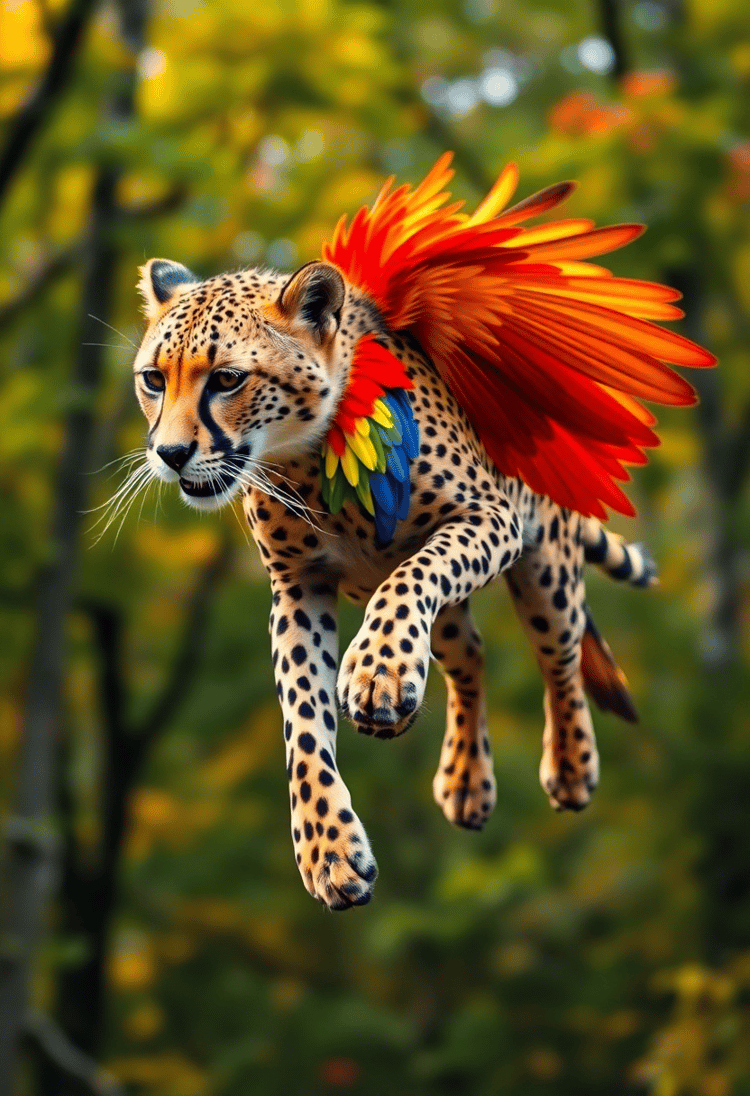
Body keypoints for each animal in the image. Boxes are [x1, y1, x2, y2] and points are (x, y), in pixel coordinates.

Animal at [131, 256, 656, 911]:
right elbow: (302, 721)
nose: (170, 453)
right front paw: (328, 850)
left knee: (558, 655)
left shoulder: (487, 517)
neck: (303, 458)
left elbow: (411, 576)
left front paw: (377, 668)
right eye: (153, 380)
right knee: (470, 654)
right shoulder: (298, 588)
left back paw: (570, 765)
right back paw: (459, 772)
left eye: (227, 379)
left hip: (545, 567)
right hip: (458, 616)